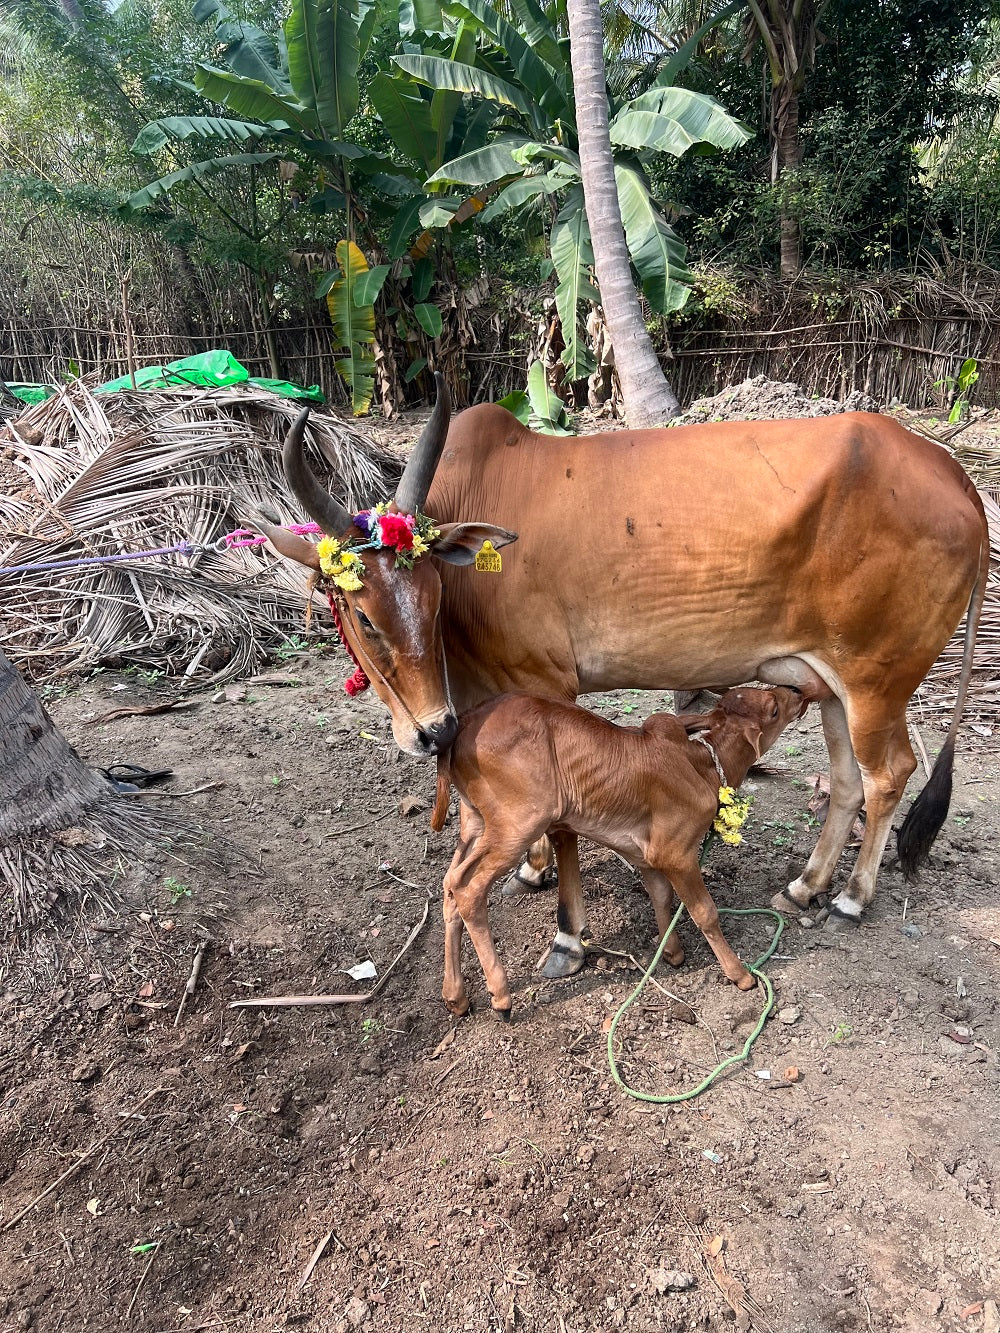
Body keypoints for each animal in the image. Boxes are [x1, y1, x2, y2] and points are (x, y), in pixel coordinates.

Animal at [256, 381, 986, 954]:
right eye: (364, 614)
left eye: (433, 596)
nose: (432, 732)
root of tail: (956, 476)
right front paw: (532, 870)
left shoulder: (547, 686)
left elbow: (559, 819)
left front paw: (553, 901)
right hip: (831, 683)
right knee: (846, 781)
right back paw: (805, 885)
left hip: (876, 679)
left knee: (888, 774)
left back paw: (853, 896)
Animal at [429, 687, 805, 1018]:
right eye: (773, 709)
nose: (797, 692)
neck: (703, 766)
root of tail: (465, 725)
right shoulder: (676, 853)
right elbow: (704, 911)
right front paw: (739, 974)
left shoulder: (648, 856)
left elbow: (661, 896)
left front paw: (672, 951)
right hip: (519, 824)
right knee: (467, 888)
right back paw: (501, 996)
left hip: (474, 823)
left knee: (449, 885)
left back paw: (455, 996)